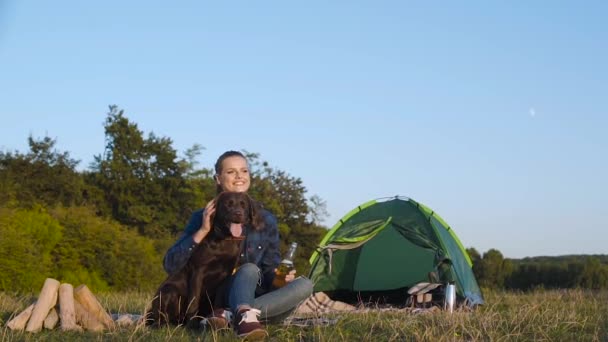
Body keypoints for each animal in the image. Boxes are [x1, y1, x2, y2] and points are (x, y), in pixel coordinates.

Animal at [147, 191, 264, 328]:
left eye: (243, 205)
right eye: (228, 204)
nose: (238, 213)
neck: (224, 240)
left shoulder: (225, 275)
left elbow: (218, 300)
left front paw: (217, 317)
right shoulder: (198, 272)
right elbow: (193, 302)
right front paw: (192, 325)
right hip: (168, 291)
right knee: (162, 317)